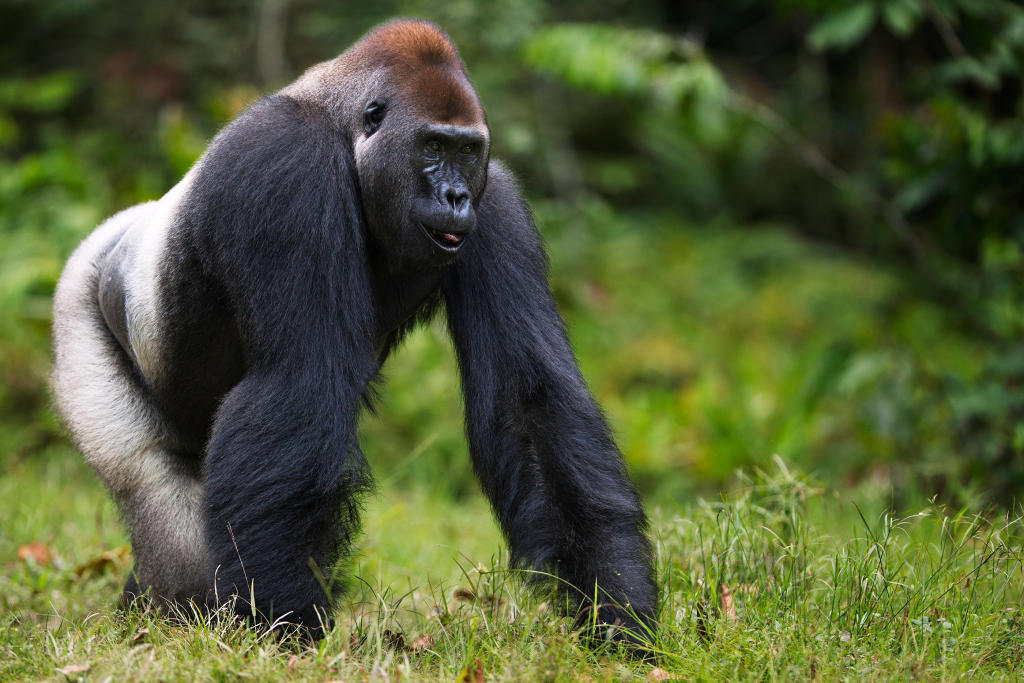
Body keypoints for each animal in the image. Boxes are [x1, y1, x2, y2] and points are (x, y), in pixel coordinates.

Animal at [49, 17, 655, 647]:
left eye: (467, 152)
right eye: (432, 147)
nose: (456, 196)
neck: (341, 128)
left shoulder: (499, 202)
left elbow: (529, 403)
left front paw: (615, 607)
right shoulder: (288, 164)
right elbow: (301, 384)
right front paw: (282, 624)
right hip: (78, 308)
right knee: (159, 498)